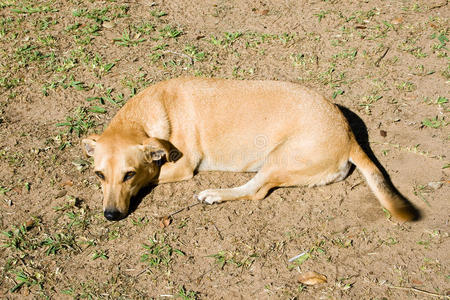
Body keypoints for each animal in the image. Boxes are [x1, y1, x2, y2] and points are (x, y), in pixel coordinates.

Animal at [81, 77, 418, 223]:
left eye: (130, 175)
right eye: (98, 175)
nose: (111, 215)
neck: (145, 115)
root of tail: (350, 136)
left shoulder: (181, 166)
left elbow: (154, 174)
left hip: (279, 159)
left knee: (255, 190)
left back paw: (215, 194)